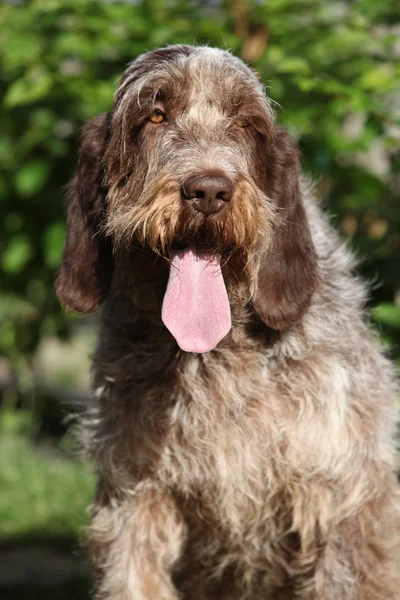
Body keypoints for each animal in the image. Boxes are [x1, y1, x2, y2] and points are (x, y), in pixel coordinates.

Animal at [54, 47, 398, 600]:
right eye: (155, 115)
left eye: (244, 122)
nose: (209, 190)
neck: (215, 353)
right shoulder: (137, 499)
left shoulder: (340, 495)